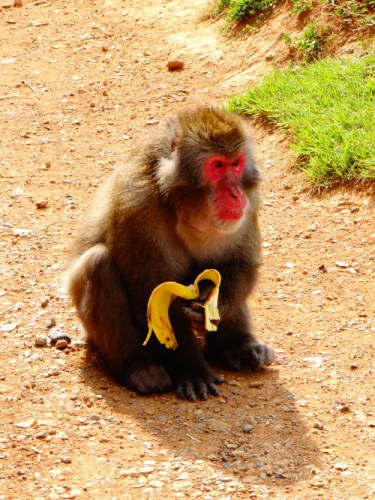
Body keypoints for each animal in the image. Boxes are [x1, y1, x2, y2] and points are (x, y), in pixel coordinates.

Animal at [66, 106, 274, 402]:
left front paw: (212, 303)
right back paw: (138, 368)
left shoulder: (250, 202)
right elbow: (153, 297)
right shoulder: (137, 205)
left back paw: (236, 347)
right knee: (97, 265)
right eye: (217, 165)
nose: (235, 194)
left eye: (236, 163)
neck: (184, 207)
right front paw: (193, 371)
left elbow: (239, 264)